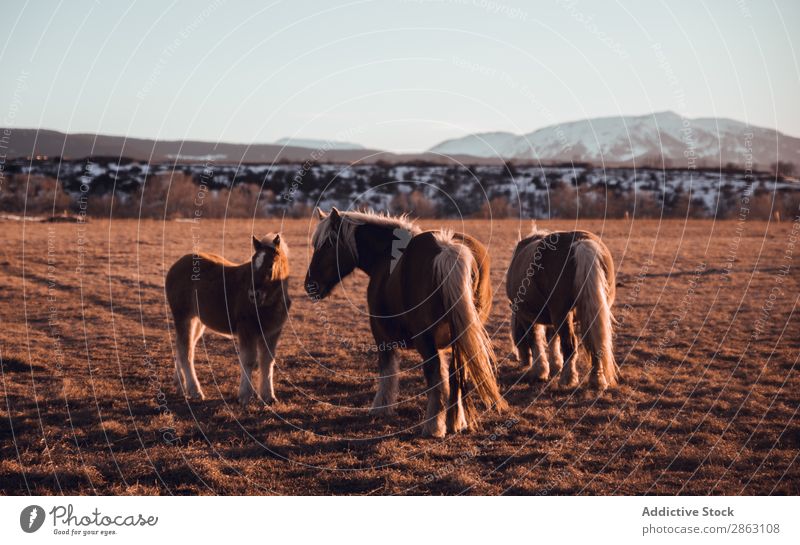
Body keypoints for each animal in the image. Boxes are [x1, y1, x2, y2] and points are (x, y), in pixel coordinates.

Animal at [165, 232, 290, 406]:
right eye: (252, 265)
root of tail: (174, 267)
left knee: (182, 347)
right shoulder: (247, 330)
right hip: (183, 317)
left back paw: (180, 385)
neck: (270, 302)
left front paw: (268, 396)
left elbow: (267, 362)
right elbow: (249, 360)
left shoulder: (272, 332)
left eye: (271, 265)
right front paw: (244, 396)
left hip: (197, 321)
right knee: (186, 352)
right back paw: (195, 391)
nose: (254, 294)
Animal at [306, 208, 506, 438]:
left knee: (436, 375)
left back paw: (433, 426)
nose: (309, 285)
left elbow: (387, 370)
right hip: (462, 338)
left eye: (328, 245)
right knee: (457, 373)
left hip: (426, 339)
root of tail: (447, 248)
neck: (383, 255)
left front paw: (381, 408)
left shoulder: (381, 335)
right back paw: (455, 422)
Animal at [506, 223, 620, 388]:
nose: (522, 361)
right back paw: (597, 380)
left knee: (570, 345)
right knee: (594, 342)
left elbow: (534, 339)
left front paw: (540, 371)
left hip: (561, 314)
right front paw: (555, 365)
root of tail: (581, 242)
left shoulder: (526, 316)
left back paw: (568, 379)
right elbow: (553, 339)